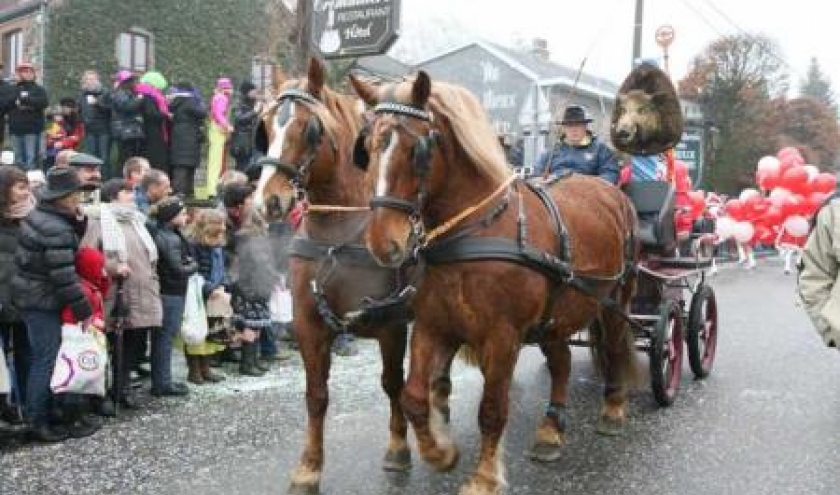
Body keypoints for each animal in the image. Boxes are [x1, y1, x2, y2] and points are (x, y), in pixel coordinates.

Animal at [256, 59, 414, 495]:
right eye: (265, 126)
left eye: (310, 129)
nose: (267, 201)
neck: (338, 239)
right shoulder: (309, 323)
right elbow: (316, 395)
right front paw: (308, 468)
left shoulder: (392, 323)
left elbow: (392, 382)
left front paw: (398, 448)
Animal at [352, 72, 640, 495]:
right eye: (367, 147)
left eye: (416, 150)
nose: (381, 243)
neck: (476, 231)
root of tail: (611, 191)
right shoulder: (433, 326)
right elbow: (415, 397)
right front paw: (441, 452)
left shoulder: (502, 336)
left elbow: (491, 409)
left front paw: (484, 477)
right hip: (556, 316)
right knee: (562, 363)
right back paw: (550, 432)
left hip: (615, 300)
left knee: (616, 348)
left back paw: (614, 410)